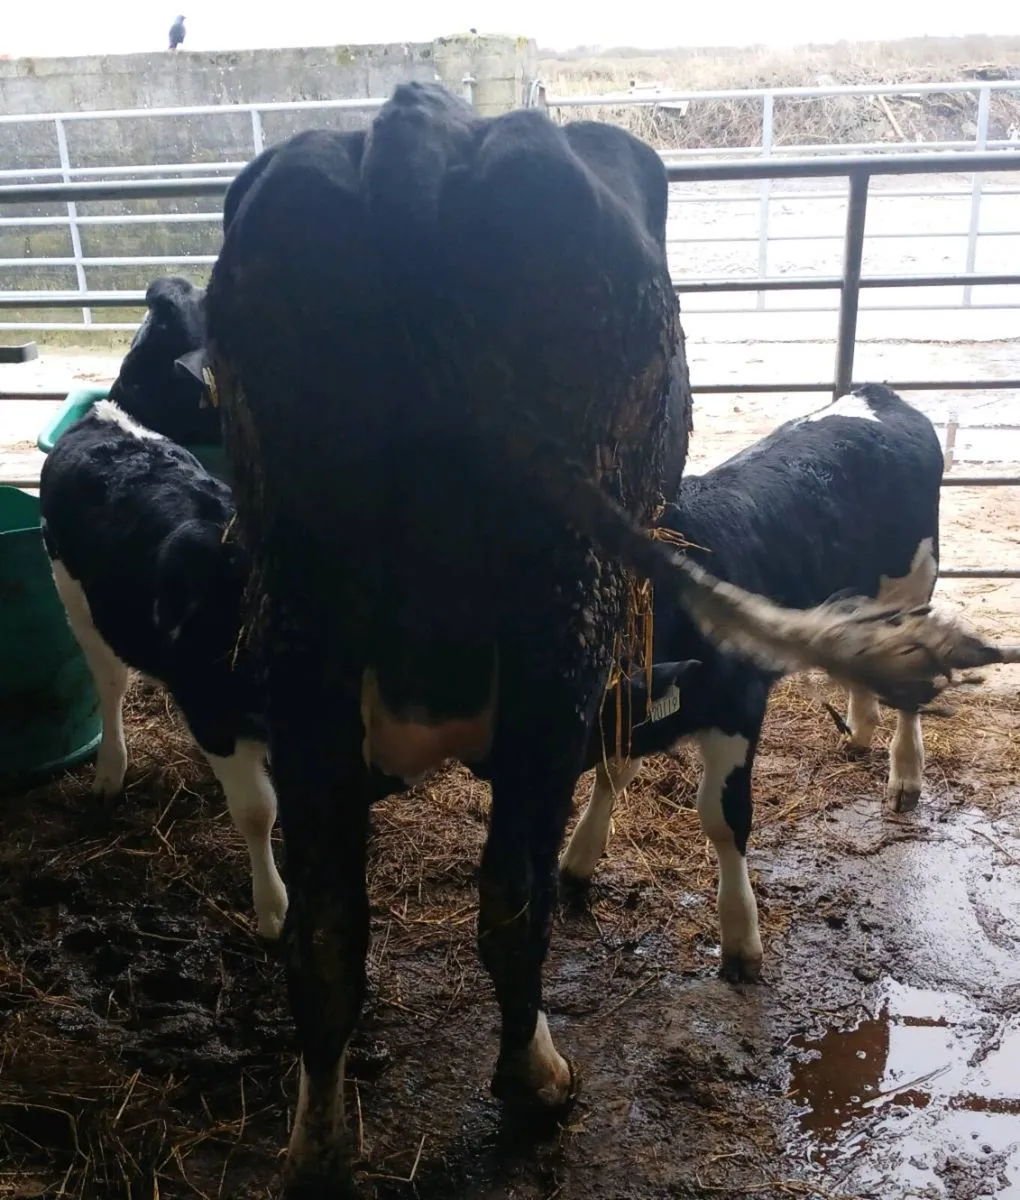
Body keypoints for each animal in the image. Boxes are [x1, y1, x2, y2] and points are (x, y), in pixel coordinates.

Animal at [561, 383, 947, 982]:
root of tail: (877, 392)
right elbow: (613, 769)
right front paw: (578, 861)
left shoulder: (739, 707)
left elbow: (723, 819)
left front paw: (741, 937)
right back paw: (860, 729)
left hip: (916, 584)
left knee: (909, 684)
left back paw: (905, 776)